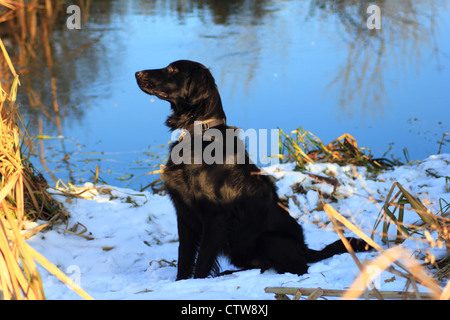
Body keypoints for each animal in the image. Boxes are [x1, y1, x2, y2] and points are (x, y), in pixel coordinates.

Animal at [135, 60, 368, 280]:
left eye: (174, 70)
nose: (137, 73)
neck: (199, 137)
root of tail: (305, 248)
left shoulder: (215, 217)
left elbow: (202, 260)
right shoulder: (184, 212)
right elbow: (184, 255)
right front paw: (180, 283)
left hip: (270, 239)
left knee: (298, 268)